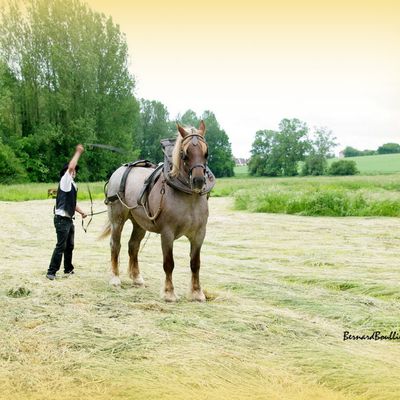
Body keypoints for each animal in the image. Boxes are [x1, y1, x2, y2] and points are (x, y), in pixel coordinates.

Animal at [100, 120, 212, 302]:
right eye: (184, 154)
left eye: (206, 152)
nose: (198, 180)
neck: (188, 197)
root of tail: (119, 171)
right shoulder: (167, 234)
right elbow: (169, 263)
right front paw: (169, 293)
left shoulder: (199, 234)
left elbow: (195, 264)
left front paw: (197, 293)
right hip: (117, 219)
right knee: (115, 245)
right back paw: (115, 278)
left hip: (139, 223)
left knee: (133, 246)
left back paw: (137, 278)